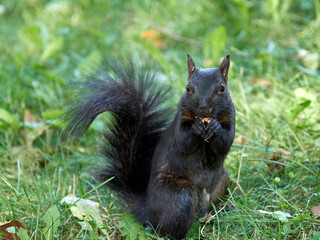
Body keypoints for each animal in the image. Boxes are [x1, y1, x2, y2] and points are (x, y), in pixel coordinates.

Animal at [63, 54, 235, 240]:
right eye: (188, 88)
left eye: (222, 88)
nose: (203, 109)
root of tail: (148, 212)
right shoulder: (180, 120)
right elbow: (183, 141)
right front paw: (196, 127)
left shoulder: (231, 116)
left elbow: (226, 142)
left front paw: (216, 127)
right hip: (181, 195)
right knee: (167, 230)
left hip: (222, 182)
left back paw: (215, 212)